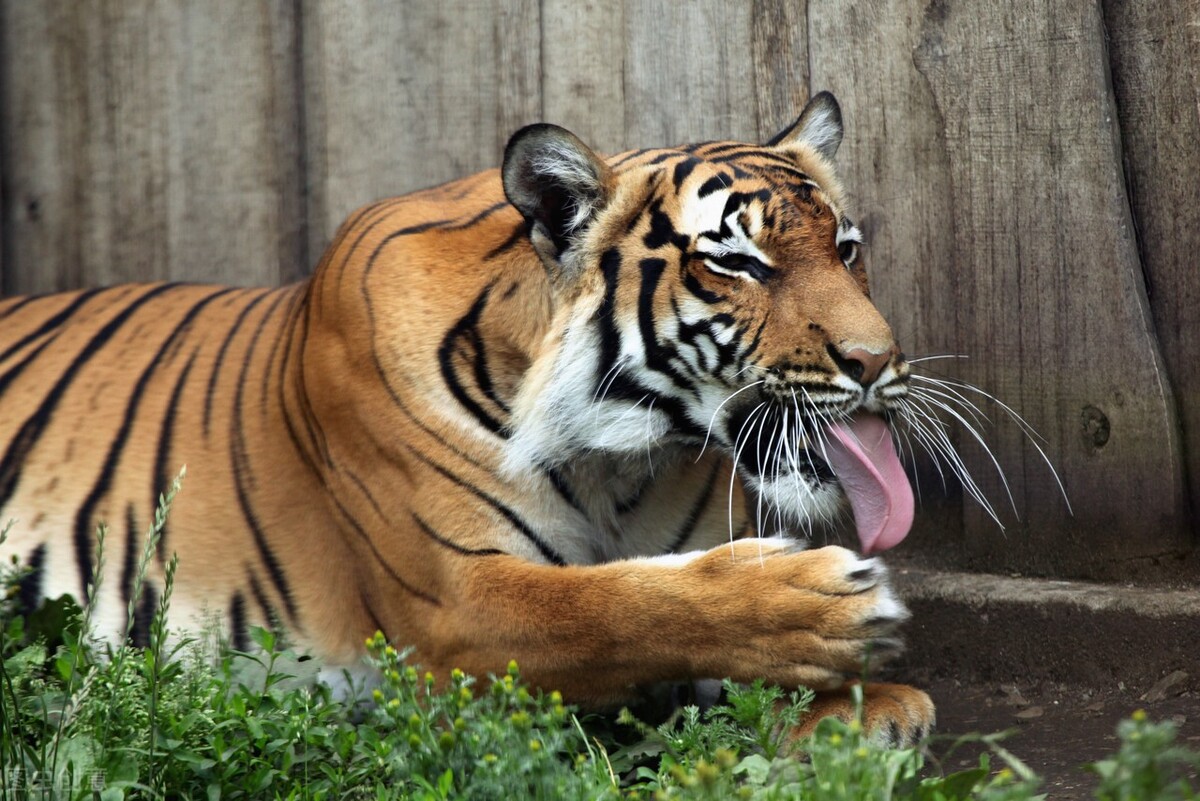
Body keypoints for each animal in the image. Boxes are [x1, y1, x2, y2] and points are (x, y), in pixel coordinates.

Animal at [0, 92, 934, 744]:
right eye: (738, 263)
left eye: (845, 249)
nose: (877, 360)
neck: (621, 458)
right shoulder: (455, 606)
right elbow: (616, 605)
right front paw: (826, 608)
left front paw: (866, 709)